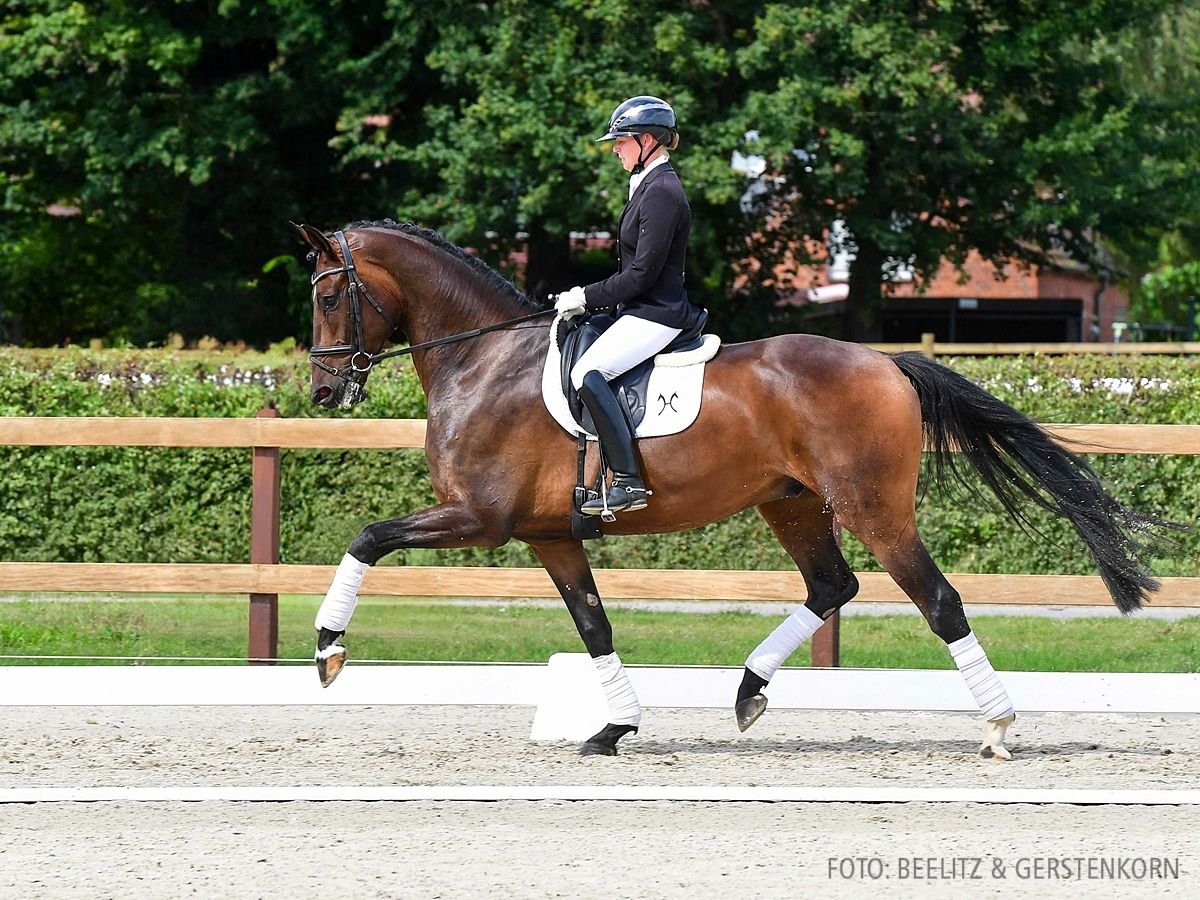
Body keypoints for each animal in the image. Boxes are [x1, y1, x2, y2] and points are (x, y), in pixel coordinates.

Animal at [297, 218, 1171, 763]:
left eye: (329, 295)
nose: (324, 390)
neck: (482, 363)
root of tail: (887, 362)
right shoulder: (549, 536)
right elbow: (594, 627)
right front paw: (615, 728)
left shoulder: (479, 518)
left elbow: (367, 537)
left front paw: (329, 650)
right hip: (790, 501)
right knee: (832, 585)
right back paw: (750, 689)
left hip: (874, 510)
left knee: (938, 600)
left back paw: (996, 728)